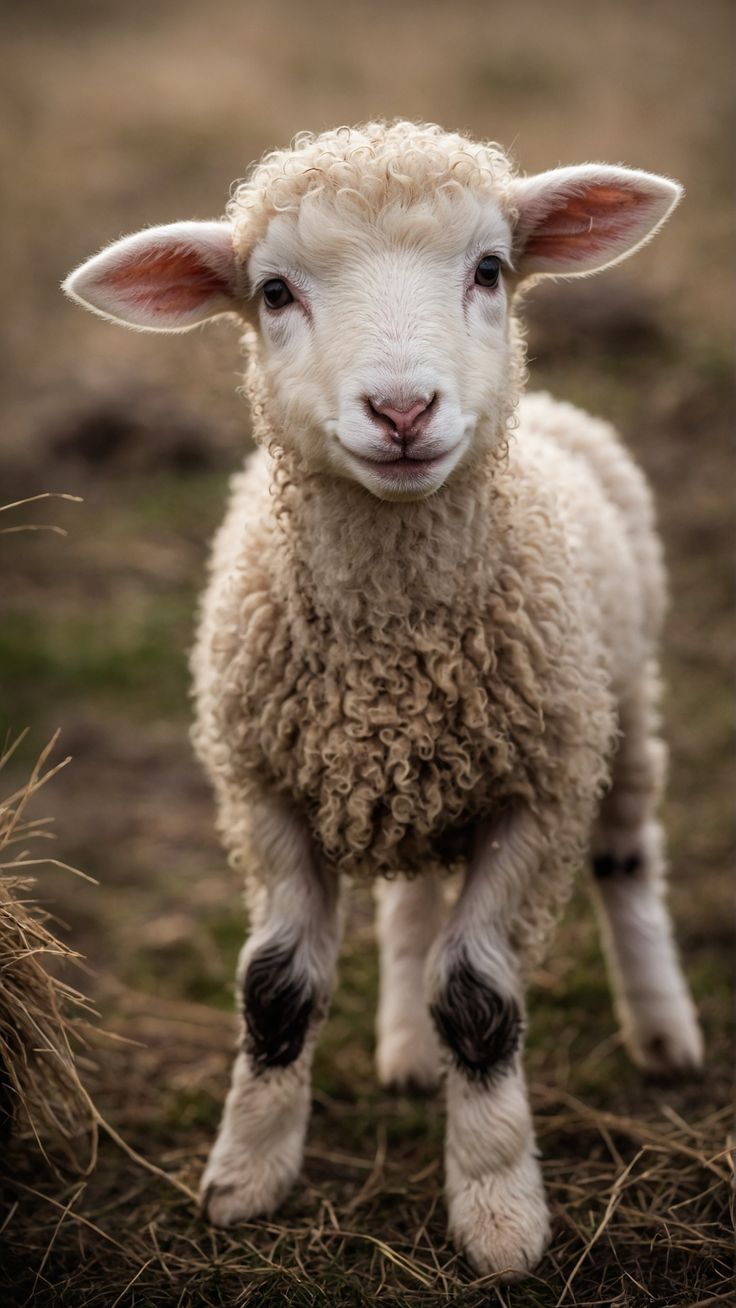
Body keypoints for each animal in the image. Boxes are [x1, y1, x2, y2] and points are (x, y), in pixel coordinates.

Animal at [61, 120, 700, 1276]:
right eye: (273, 292)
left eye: (489, 270)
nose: (403, 410)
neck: (393, 658)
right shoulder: (261, 788)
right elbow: (275, 986)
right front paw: (245, 1178)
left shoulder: (535, 797)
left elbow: (480, 996)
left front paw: (497, 1209)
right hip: (415, 781)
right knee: (410, 909)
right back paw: (405, 1051)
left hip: (622, 706)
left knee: (628, 856)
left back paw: (664, 1031)